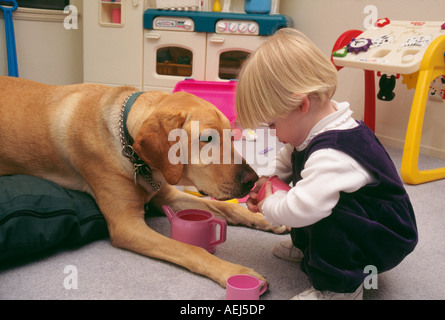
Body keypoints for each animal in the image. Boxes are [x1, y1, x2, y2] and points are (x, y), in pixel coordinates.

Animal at [0, 77, 284, 288]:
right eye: (207, 139)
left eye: (231, 135)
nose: (252, 180)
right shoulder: (127, 226)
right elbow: (190, 249)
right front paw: (235, 272)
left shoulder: (167, 196)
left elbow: (227, 207)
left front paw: (266, 218)